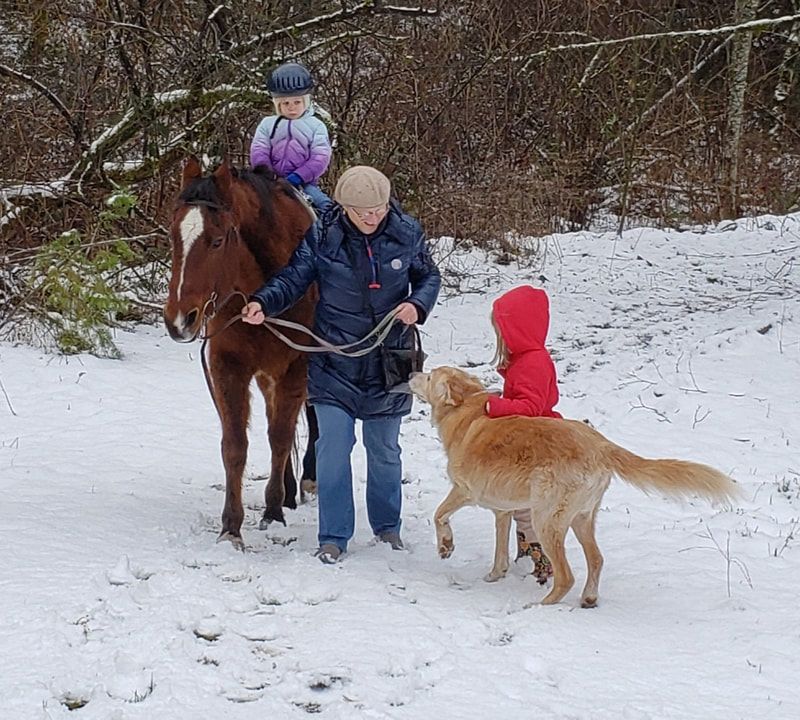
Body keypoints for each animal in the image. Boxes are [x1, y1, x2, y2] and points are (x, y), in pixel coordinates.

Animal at [162, 158, 317, 547]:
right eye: (173, 236)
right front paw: (231, 527)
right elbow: (235, 445)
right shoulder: (229, 367)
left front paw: (273, 512)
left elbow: (280, 437)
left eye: (217, 241)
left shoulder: (297, 367)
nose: (179, 320)